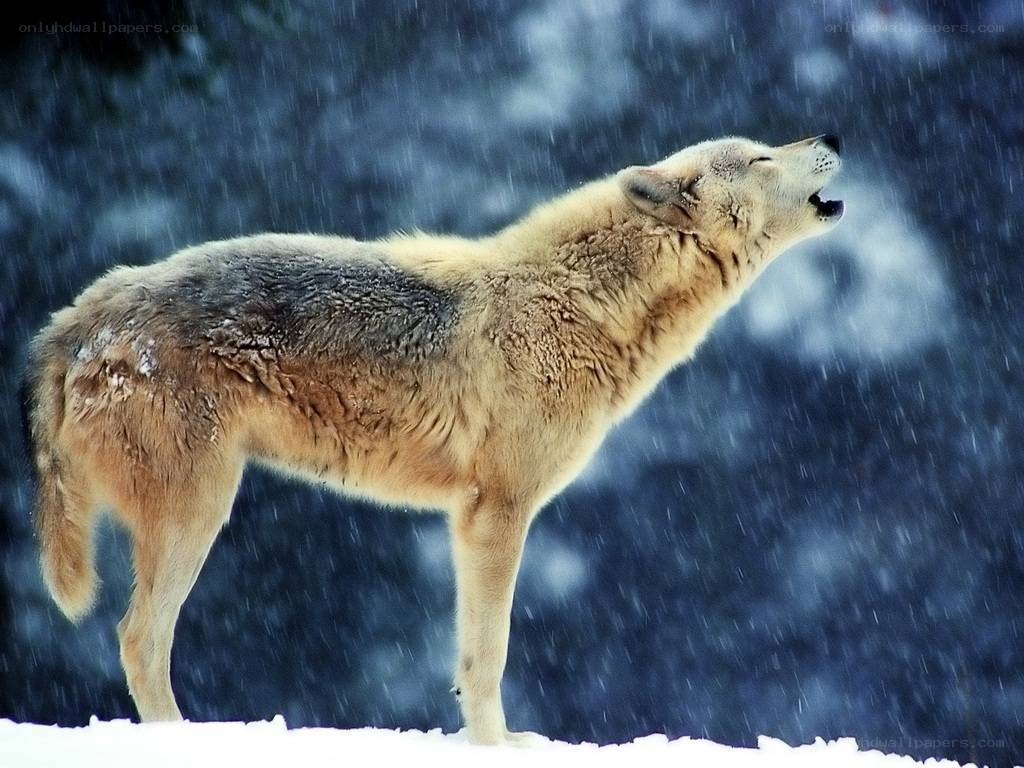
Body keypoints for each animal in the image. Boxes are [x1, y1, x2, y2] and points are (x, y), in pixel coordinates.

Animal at [23, 134, 843, 744]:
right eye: (761, 156)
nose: (831, 137)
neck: (581, 302)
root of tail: (82, 314)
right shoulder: (497, 513)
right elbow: (489, 656)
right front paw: (496, 747)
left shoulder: (471, 517)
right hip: (199, 512)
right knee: (138, 639)